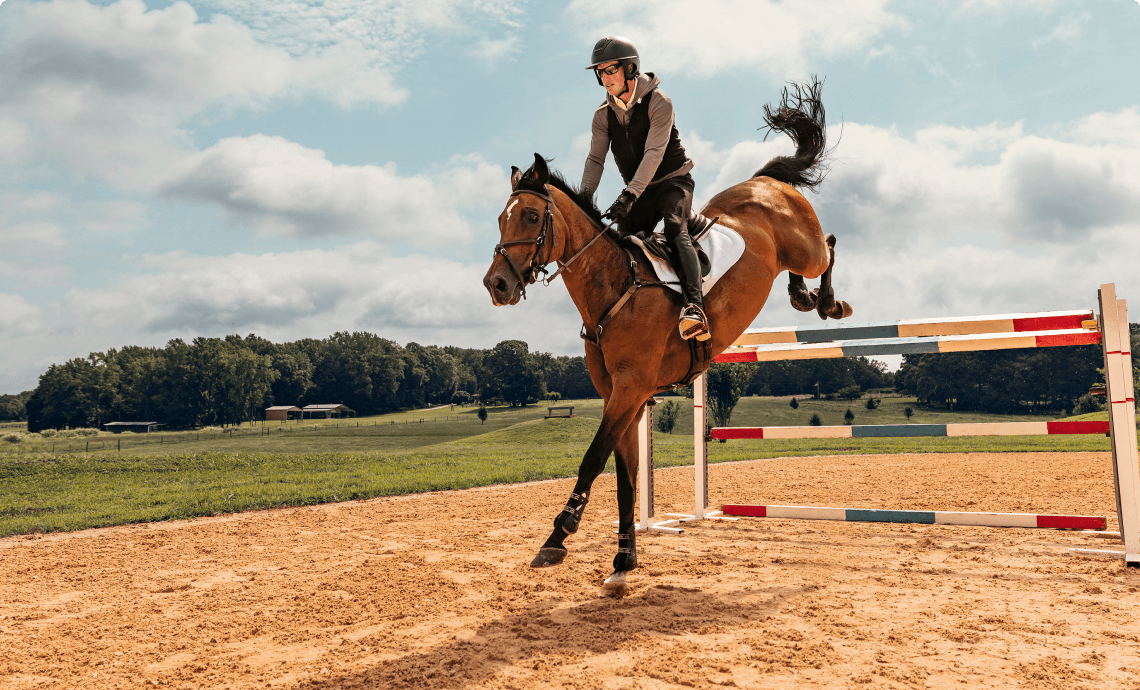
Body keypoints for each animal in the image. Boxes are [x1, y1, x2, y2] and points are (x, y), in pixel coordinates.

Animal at [482, 78, 851, 597]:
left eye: (532, 218)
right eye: (502, 218)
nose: (496, 285)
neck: (615, 289)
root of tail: (764, 182)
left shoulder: (631, 388)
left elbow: (592, 460)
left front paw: (559, 535)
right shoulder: (624, 397)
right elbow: (625, 477)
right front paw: (624, 559)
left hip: (807, 246)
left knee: (830, 246)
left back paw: (828, 301)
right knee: (805, 265)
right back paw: (802, 295)